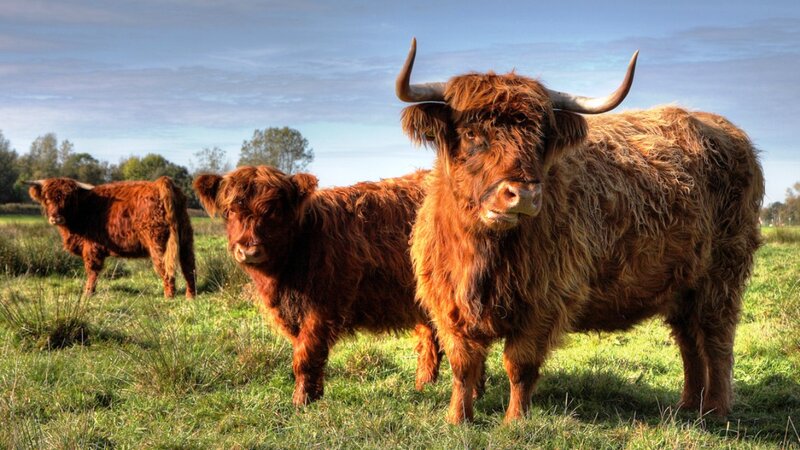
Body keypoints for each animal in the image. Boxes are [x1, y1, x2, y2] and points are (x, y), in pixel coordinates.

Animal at [27, 177, 196, 299]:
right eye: (47, 198)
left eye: (68, 199)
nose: (56, 218)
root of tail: (160, 183)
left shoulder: (91, 248)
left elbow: (92, 271)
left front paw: (88, 293)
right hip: (185, 239)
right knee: (189, 267)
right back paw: (190, 296)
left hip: (158, 242)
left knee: (166, 268)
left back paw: (169, 296)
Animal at [193, 166, 443, 406]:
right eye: (230, 211)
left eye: (273, 211)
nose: (249, 250)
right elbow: (302, 351)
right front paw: (311, 393)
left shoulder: (322, 308)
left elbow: (306, 354)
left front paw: (302, 400)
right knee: (430, 337)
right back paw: (425, 385)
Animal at [394, 39, 763, 423]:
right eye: (471, 134)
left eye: (540, 139)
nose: (522, 194)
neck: (484, 252)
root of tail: (727, 131)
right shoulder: (448, 302)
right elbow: (463, 365)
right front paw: (458, 418)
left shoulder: (545, 301)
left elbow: (519, 365)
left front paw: (515, 421)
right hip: (683, 286)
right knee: (689, 341)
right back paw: (689, 405)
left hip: (721, 276)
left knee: (716, 339)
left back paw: (716, 410)